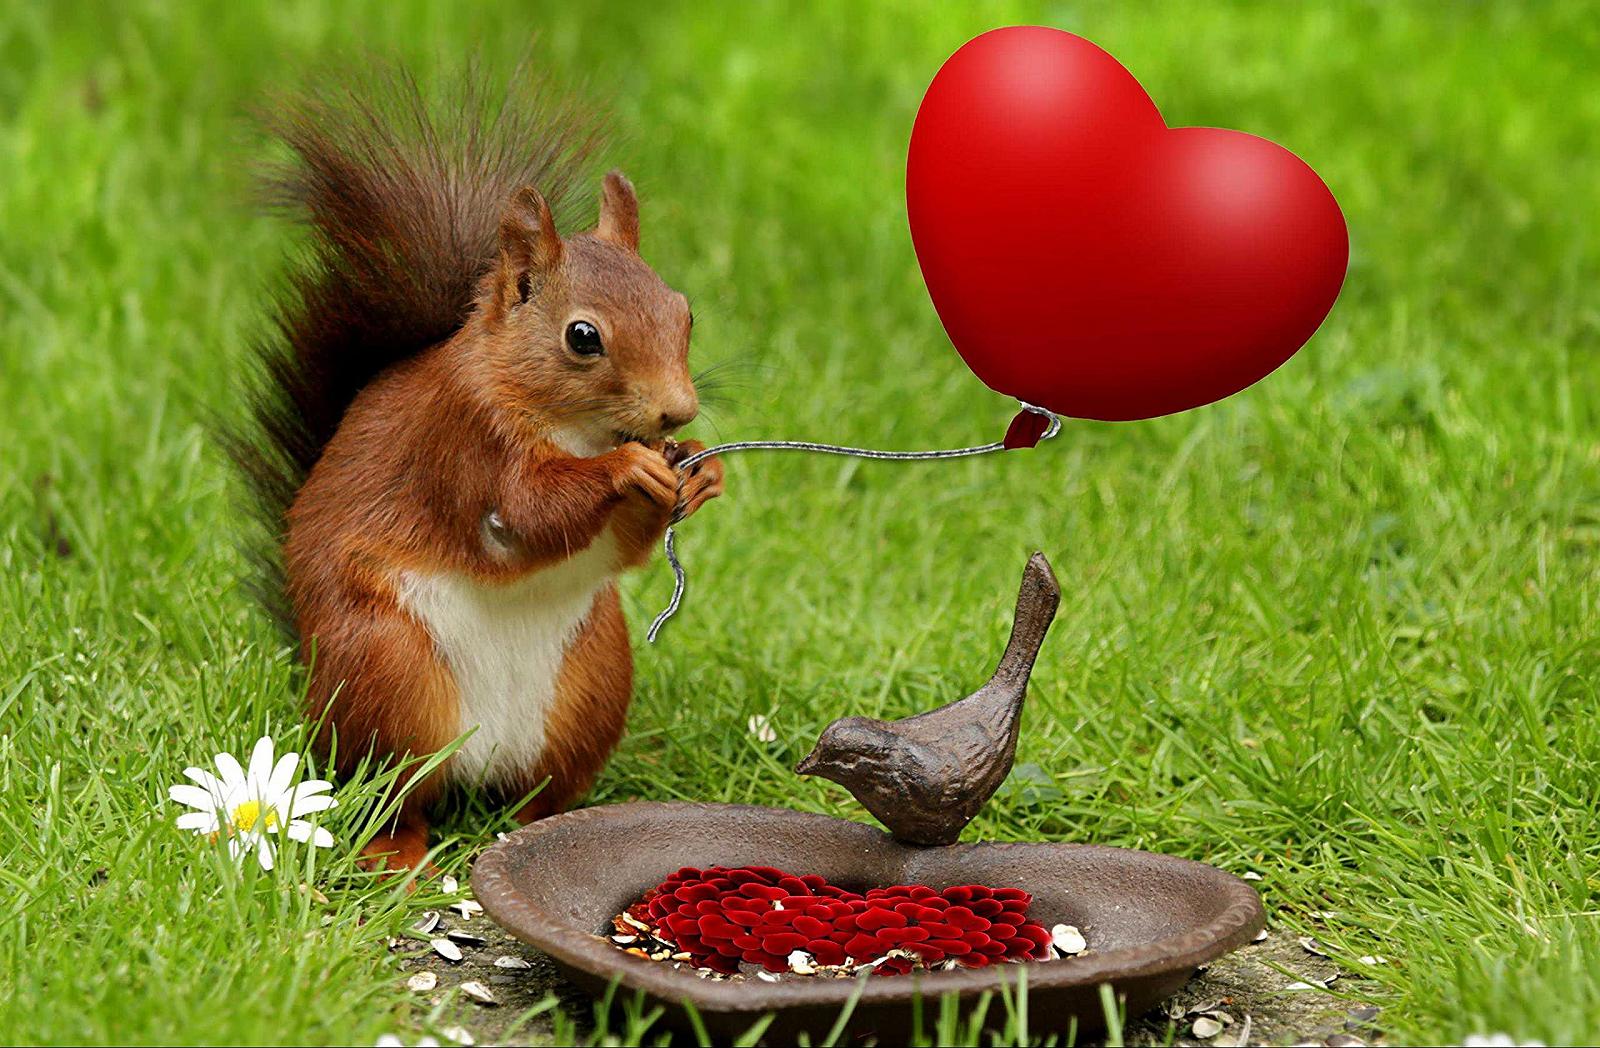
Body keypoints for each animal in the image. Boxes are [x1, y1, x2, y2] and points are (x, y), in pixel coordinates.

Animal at [229, 71, 723, 871]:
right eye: (582, 336)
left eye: (684, 314)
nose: (678, 413)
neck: (572, 428)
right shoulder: (463, 441)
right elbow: (526, 514)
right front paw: (628, 468)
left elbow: (620, 549)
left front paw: (700, 478)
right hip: (390, 676)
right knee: (393, 792)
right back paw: (398, 858)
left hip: (591, 684)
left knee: (536, 792)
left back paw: (552, 826)